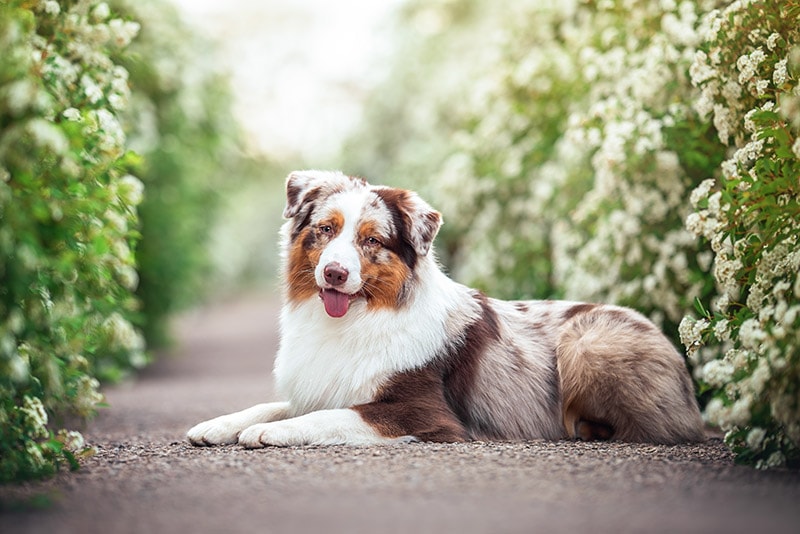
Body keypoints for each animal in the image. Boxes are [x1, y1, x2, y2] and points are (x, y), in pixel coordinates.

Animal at [188, 171, 708, 448]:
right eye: (325, 229)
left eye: (371, 241)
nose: (334, 273)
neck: (355, 320)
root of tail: (675, 346)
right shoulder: (320, 383)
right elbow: (274, 404)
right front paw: (218, 424)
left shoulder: (424, 413)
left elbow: (329, 417)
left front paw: (267, 432)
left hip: (587, 341)